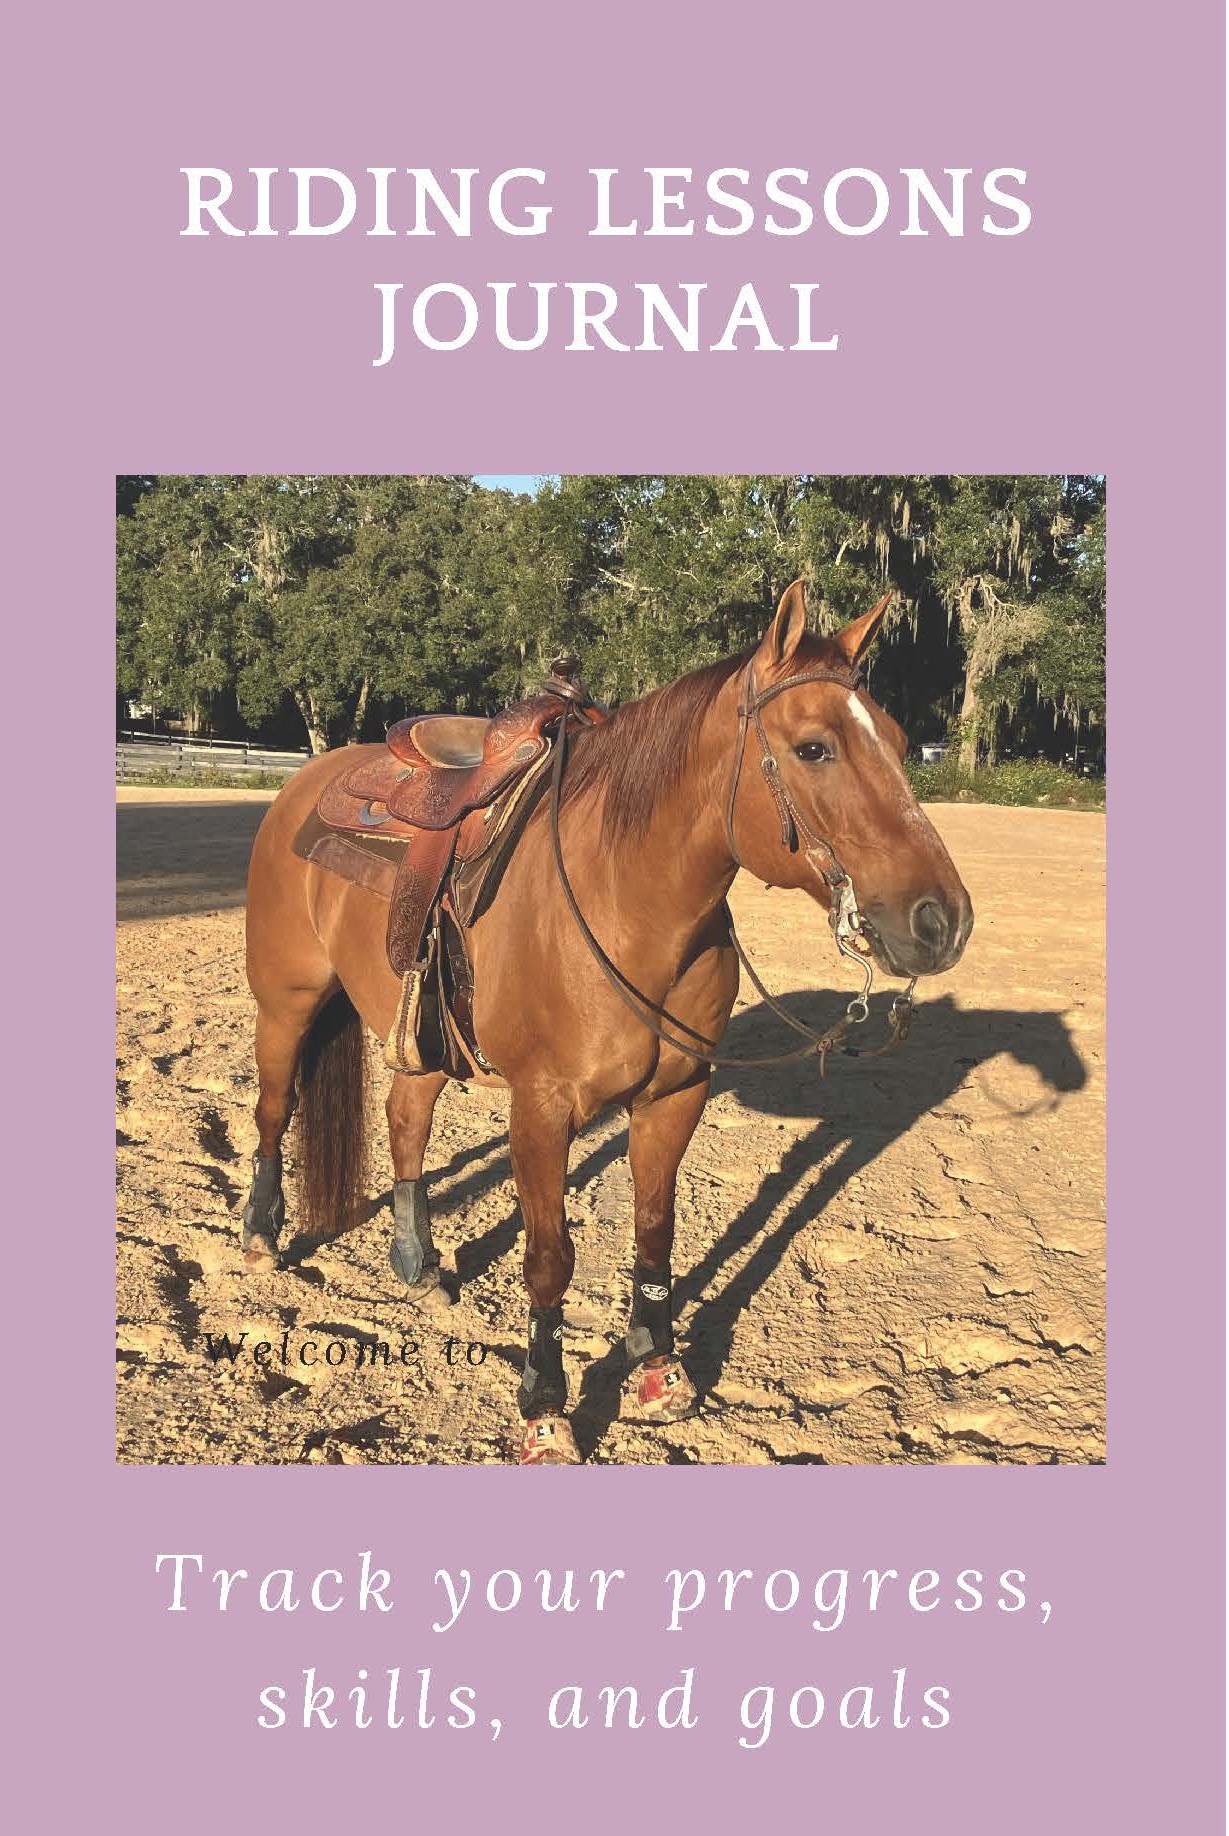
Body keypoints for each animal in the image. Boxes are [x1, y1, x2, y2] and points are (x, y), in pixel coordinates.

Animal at [241, 581, 973, 1463]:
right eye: (812, 748)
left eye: (899, 743)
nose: (942, 922)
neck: (625, 899)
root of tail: (306, 781)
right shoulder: (542, 1108)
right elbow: (549, 1257)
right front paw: (544, 1408)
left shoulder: (675, 1094)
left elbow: (655, 1229)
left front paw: (657, 1368)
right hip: (286, 1002)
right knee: (274, 1108)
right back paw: (259, 1236)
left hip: (416, 1029)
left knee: (404, 1114)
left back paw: (417, 1262)